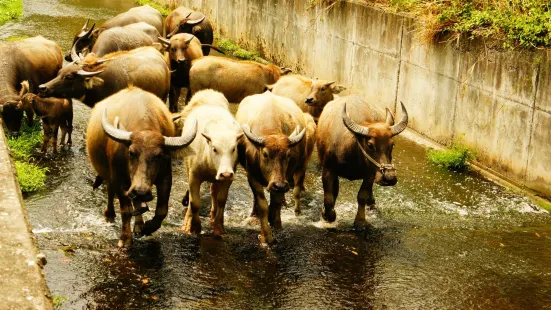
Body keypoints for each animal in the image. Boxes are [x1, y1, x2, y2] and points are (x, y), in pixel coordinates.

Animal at [86, 87, 198, 247]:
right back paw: (110, 215)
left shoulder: (165, 176)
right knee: (110, 191)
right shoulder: (119, 179)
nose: (141, 191)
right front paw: (125, 238)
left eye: (159, 155)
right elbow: (125, 211)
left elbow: (162, 210)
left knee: (137, 202)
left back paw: (139, 225)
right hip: (109, 174)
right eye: (131, 152)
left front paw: (148, 227)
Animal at [178, 89, 243, 235]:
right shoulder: (194, 176)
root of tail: (209, 93)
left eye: (233, 148)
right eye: (214, 149)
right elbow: (195, 203)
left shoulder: (227, 179)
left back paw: (213, 215)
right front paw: (195, 227)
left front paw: (218, 226)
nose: (225, 173)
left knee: (213, 191)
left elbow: (221, 200)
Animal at [236, 91, 316, 243]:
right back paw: (253, 215)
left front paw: (277, 224)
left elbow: (276, 203)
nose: (279, 185)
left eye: (288, 155)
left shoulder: (285, 178)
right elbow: (262, 205)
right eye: (265, 154)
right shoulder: (252, 176)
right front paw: (266, 235)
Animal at [314, 95, 410, 229]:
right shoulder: (328, 170)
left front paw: (360, 221)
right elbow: (329, 196)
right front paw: (328, 216)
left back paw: (372, 203)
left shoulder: (370, 174)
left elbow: (362, 195)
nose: (390, 178)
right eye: (370, 145)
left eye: (392, 145)